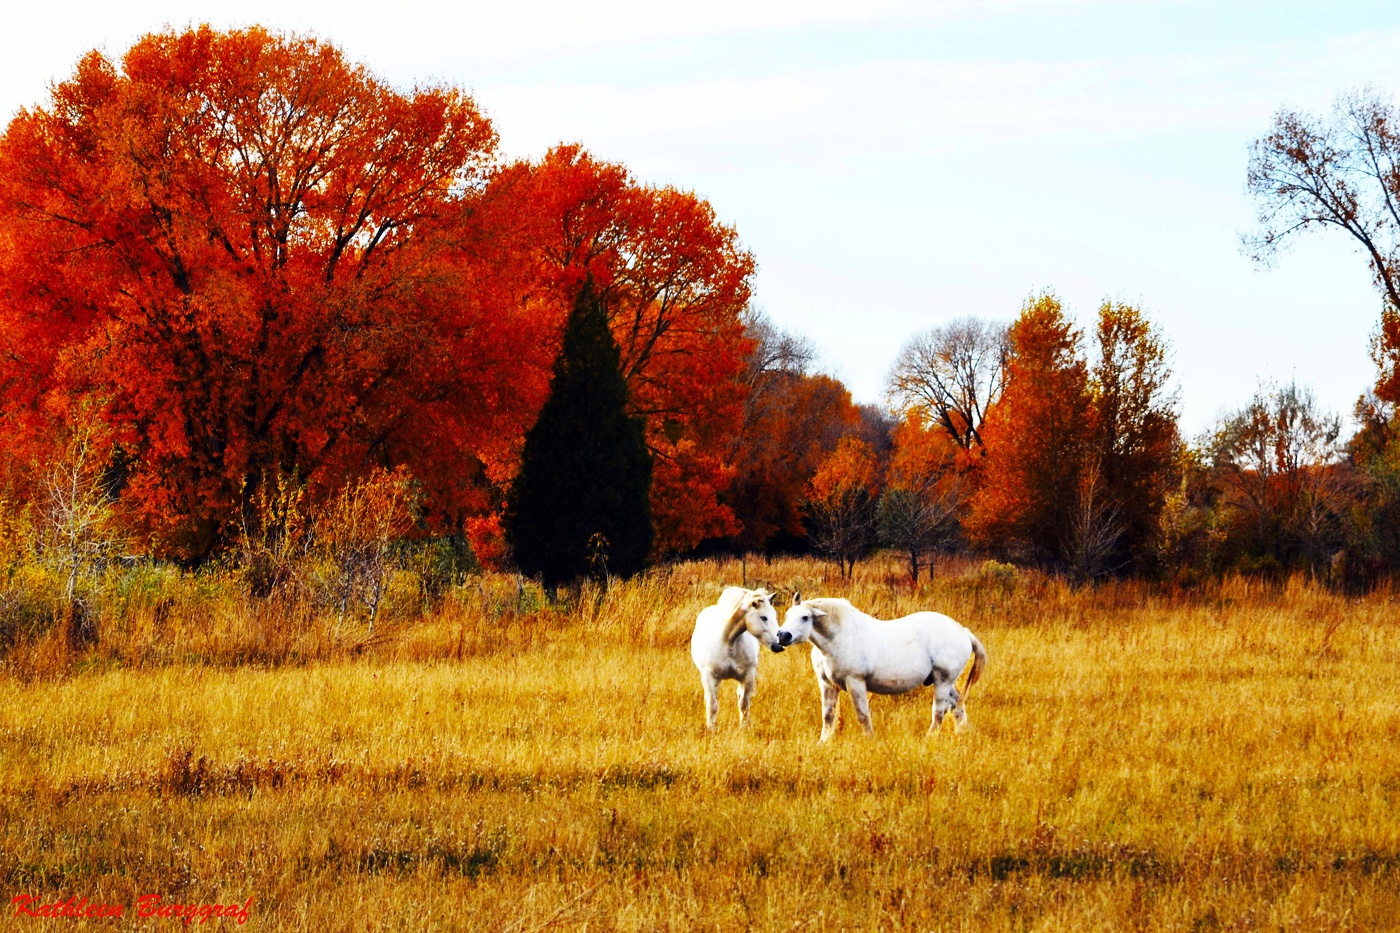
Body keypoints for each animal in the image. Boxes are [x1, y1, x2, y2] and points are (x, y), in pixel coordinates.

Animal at [690, 587, 784, 730]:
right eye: (763, 617)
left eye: (774, 615)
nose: (780, 644)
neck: (728, 643)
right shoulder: (709, 678)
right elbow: (712, 706)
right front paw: (711, 729)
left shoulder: (748, 676)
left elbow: (743, 704)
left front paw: (744, 727)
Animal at [776, 595, 987, 741]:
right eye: (787, 615)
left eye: (805, 617)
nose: (783, 635)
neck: (840, 637)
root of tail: (963, 632)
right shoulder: (827, 685)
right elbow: (828, 716)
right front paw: (824, 742)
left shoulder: (856, 683)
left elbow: (863, 715)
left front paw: (870, 740)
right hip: (946, 683)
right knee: (957, 706)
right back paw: (960, 734)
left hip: (942, 682)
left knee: (939, 713)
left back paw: (929, 739)